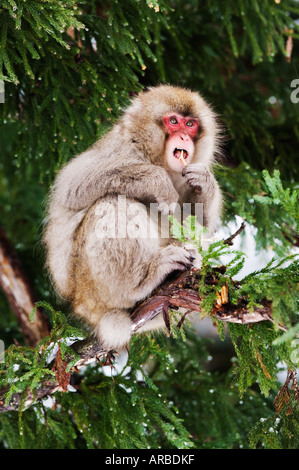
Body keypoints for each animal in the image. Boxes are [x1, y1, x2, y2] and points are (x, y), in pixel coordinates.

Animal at [44, 85, 223, 348]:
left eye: (190, 124)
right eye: (173, 121)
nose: (184, 137)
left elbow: (198, 227)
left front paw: (206, 183)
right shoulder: (122, 149)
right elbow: (73, 187)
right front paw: (157, 181)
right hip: (90, 286)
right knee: (113, 203)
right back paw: (141, 283)